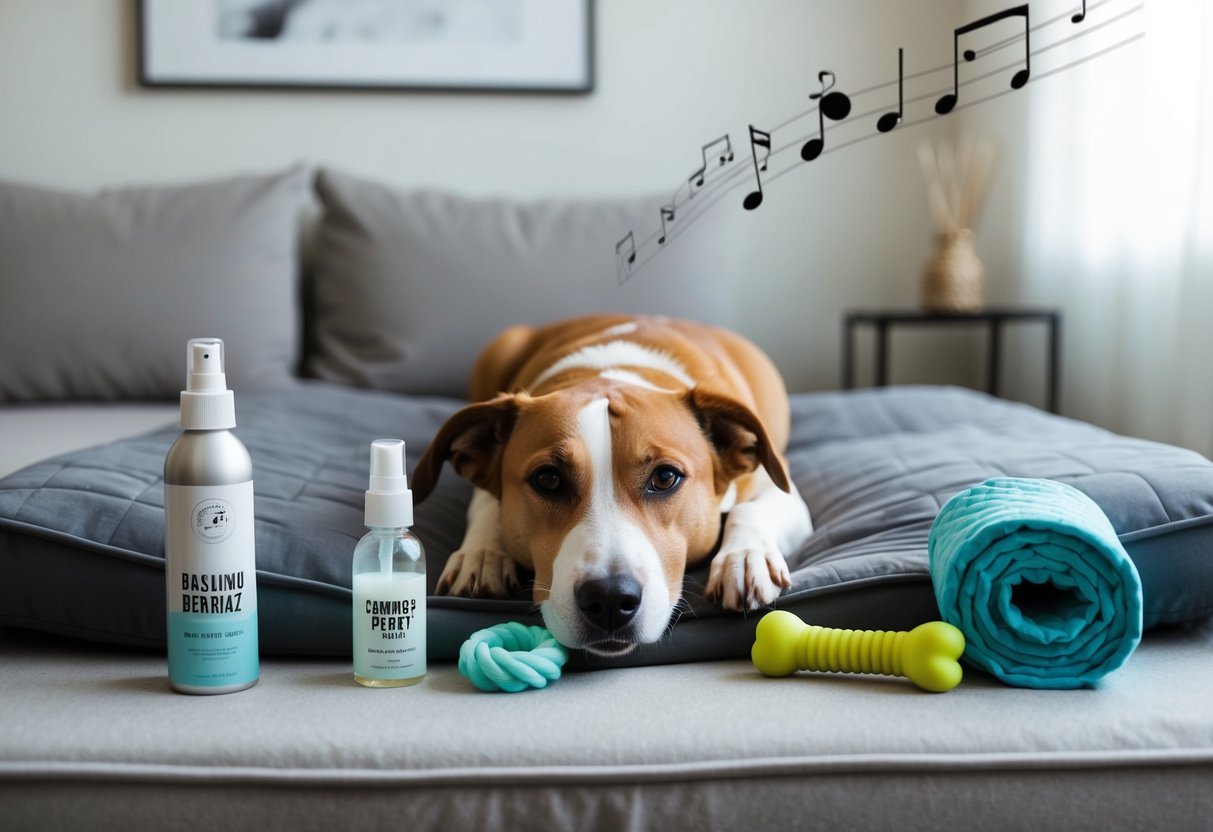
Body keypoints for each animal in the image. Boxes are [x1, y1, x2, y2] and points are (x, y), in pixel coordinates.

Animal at [409, 315, 815, 659]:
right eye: (548, 478)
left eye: (665, 477)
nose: (608, 599)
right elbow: (485, 505)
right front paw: (481, 555)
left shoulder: (779, 484)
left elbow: (752, 508)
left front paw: (745, 558)